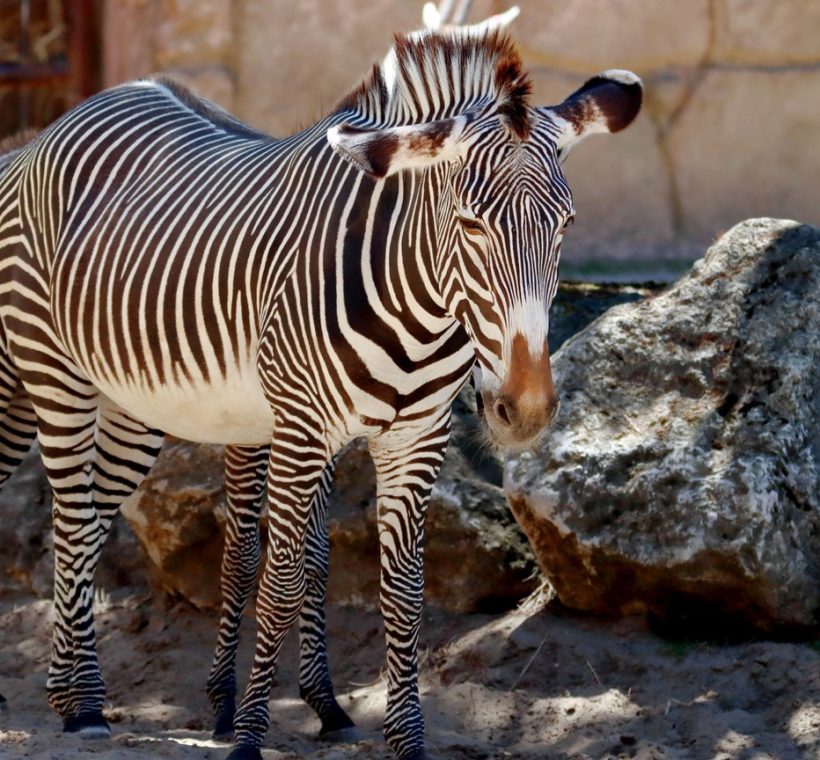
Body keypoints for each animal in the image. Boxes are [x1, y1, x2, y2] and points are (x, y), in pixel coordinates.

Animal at [0, 29, 641, 760]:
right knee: (73, 520)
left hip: (133, 404)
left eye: (566, 225)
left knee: (84, 521)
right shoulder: (303, 430)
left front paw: (404, 740)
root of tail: (53, 126)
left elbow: (400, 592)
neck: (419, 310)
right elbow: (280, 580)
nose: (525, 408)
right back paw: (83, 703)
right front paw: (249, 734)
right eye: (472, 225)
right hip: (51, 373)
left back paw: (66, 689)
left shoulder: (415, 439)